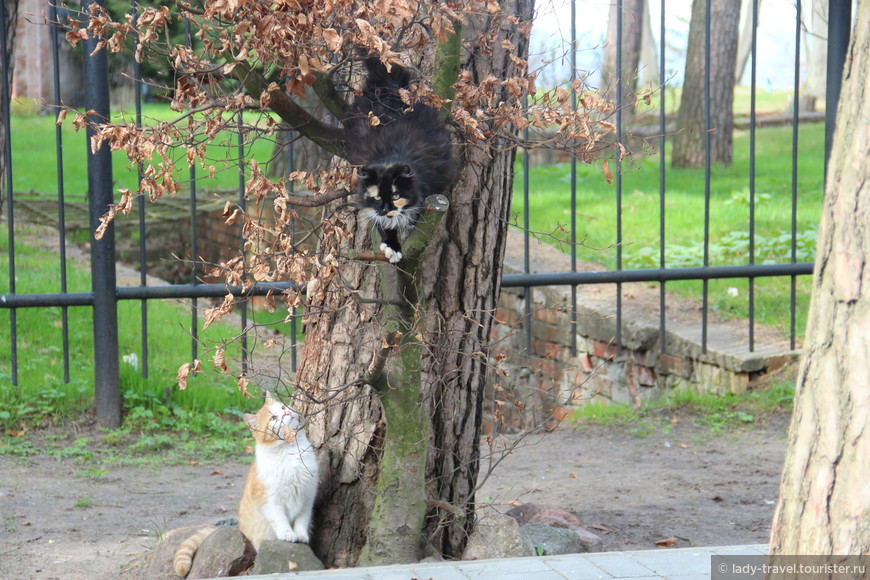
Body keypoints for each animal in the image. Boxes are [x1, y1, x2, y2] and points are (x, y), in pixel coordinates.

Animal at [172, 392, 318, 576]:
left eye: (283, 407)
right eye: (273, 418)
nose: (286, 413)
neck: (290, 452)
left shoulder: (307, 496)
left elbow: (301, 520)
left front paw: (301, 535)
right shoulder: (270, 500)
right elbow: (280, 518)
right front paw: (287, 533)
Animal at [346, 57, 460, 262]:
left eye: (396, 196)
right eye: (377, 197)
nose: (386, 209)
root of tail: (391, 86)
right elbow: (383, 224)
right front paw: (392, 246)